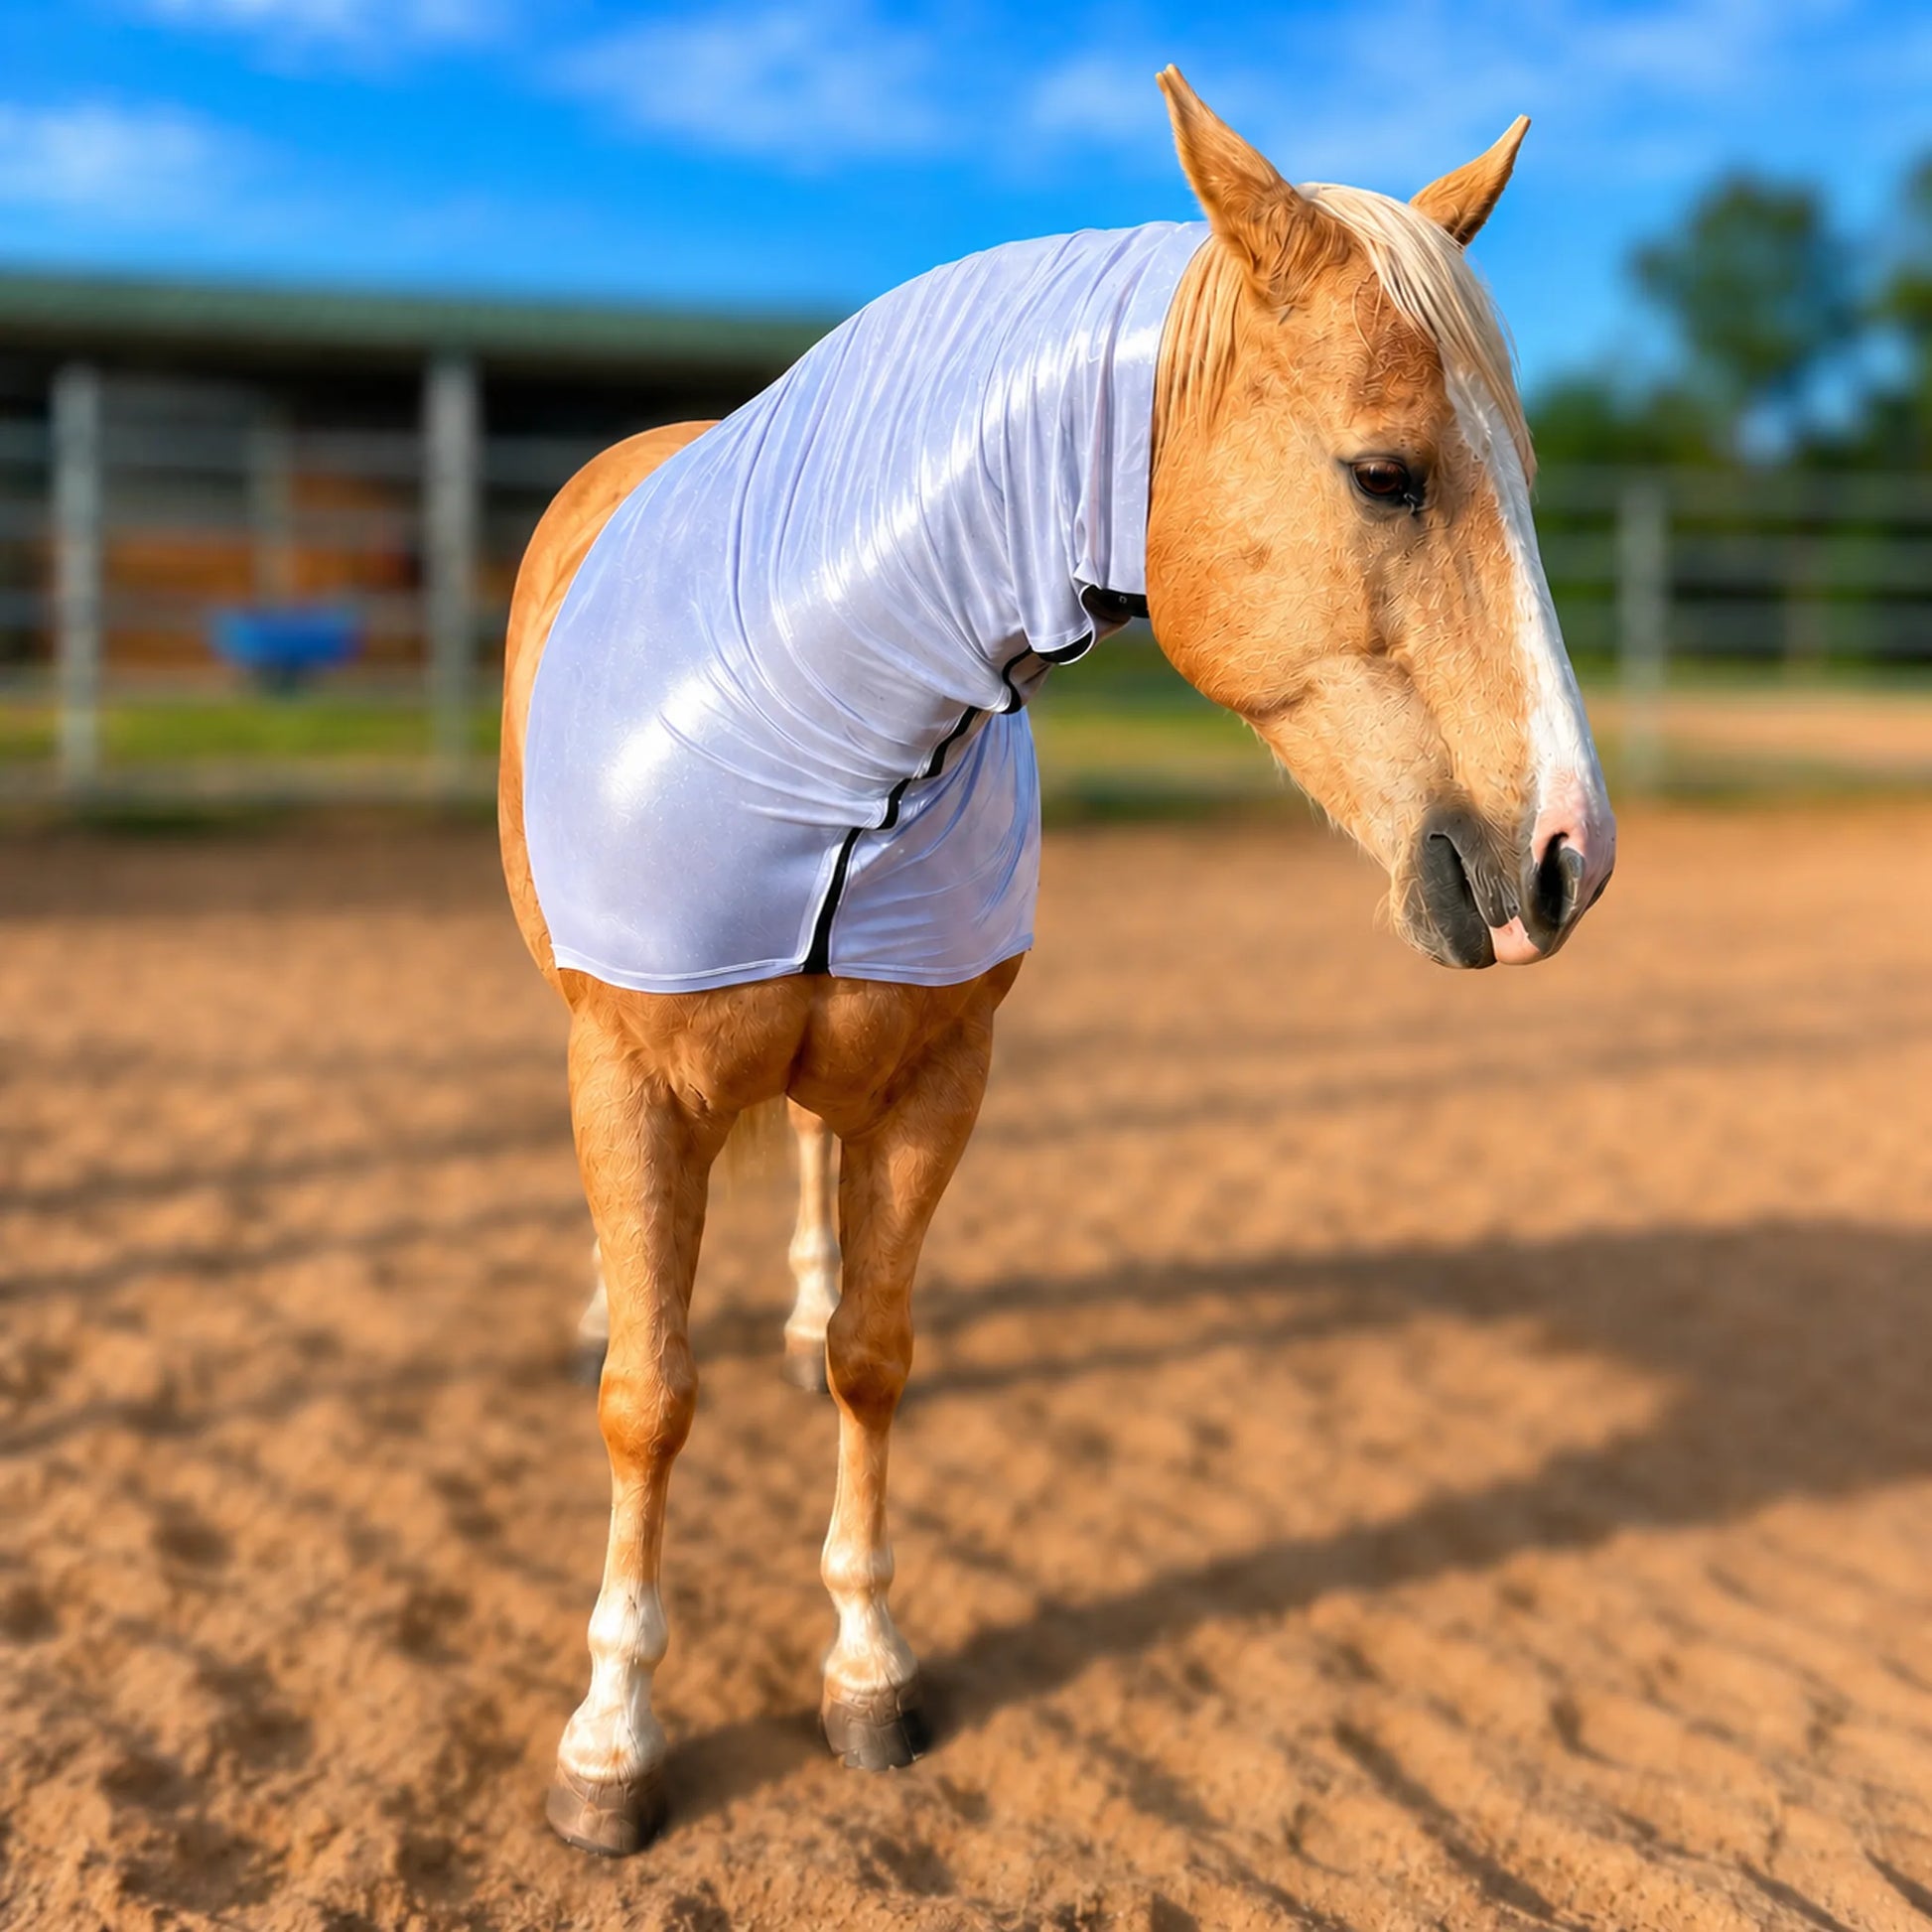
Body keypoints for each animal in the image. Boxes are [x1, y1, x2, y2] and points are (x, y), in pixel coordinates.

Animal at [498, 67, 1614, 1856]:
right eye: (1386, 475)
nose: (1571, 855)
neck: (829, 719)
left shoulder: (934, 1079)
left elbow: (874, 1361)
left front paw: (867, 1667)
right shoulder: (634, 1078)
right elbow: (647, 1398)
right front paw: (611, 1738)